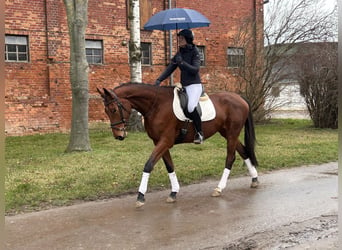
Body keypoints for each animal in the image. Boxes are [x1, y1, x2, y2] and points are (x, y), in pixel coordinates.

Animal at [97, 83, 260, 208]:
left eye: (114, 109)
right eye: (105, 110)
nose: (118, 135)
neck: (156, 105)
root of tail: (239, 97)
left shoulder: (165, 141)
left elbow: (148, 164)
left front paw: (140, 196)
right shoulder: (159, 142)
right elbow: (170, 166)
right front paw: (174, 192)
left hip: (232, 134)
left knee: (230, 158)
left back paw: (219, 188)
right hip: (228, 133)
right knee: (244, 152)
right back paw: (254, 179)